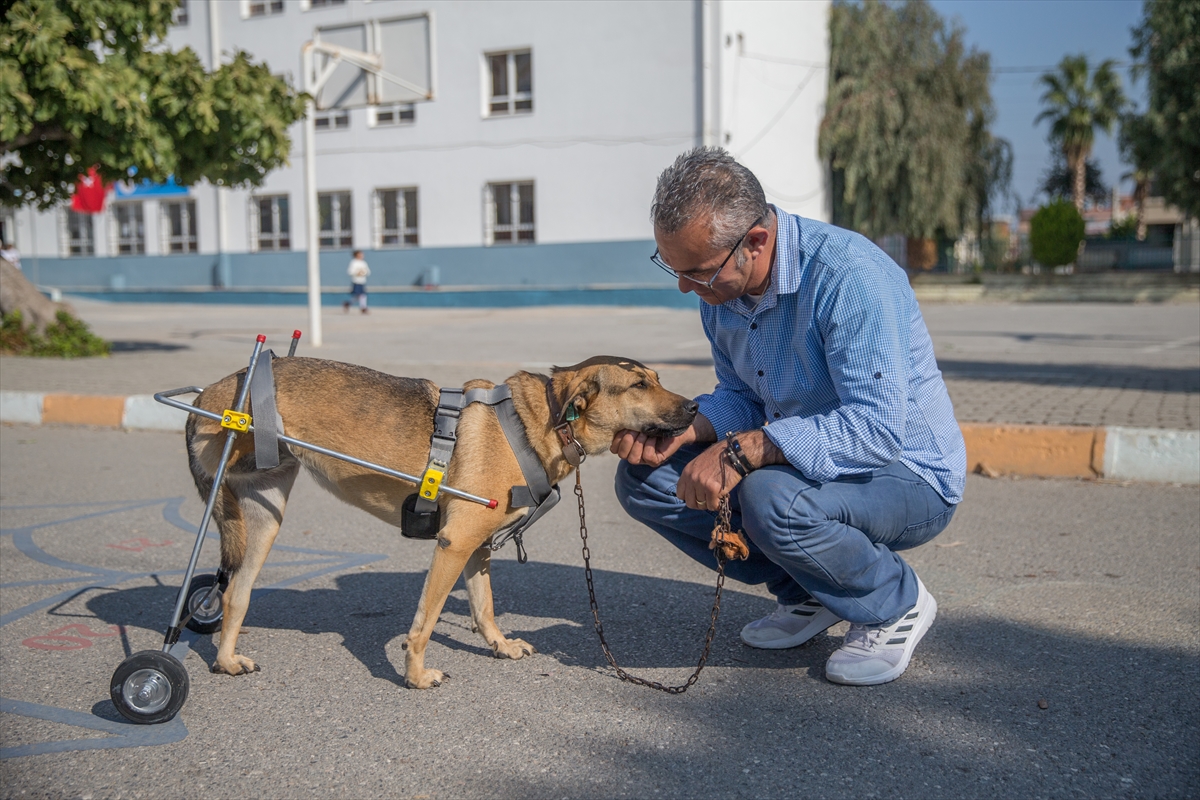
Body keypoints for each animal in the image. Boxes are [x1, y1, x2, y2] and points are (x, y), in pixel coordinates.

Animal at [182, 355, 700, 690]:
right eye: (638, 386)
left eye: (657, 378)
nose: (696, 408)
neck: (540, 424)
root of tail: (214, 389)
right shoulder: (455, 544)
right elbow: (425, 623)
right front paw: (415, 677)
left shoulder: (476, 549)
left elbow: (484, 607)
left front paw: (500, 646)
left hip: (265, 519)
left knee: (235, 592)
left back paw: (226, 661)